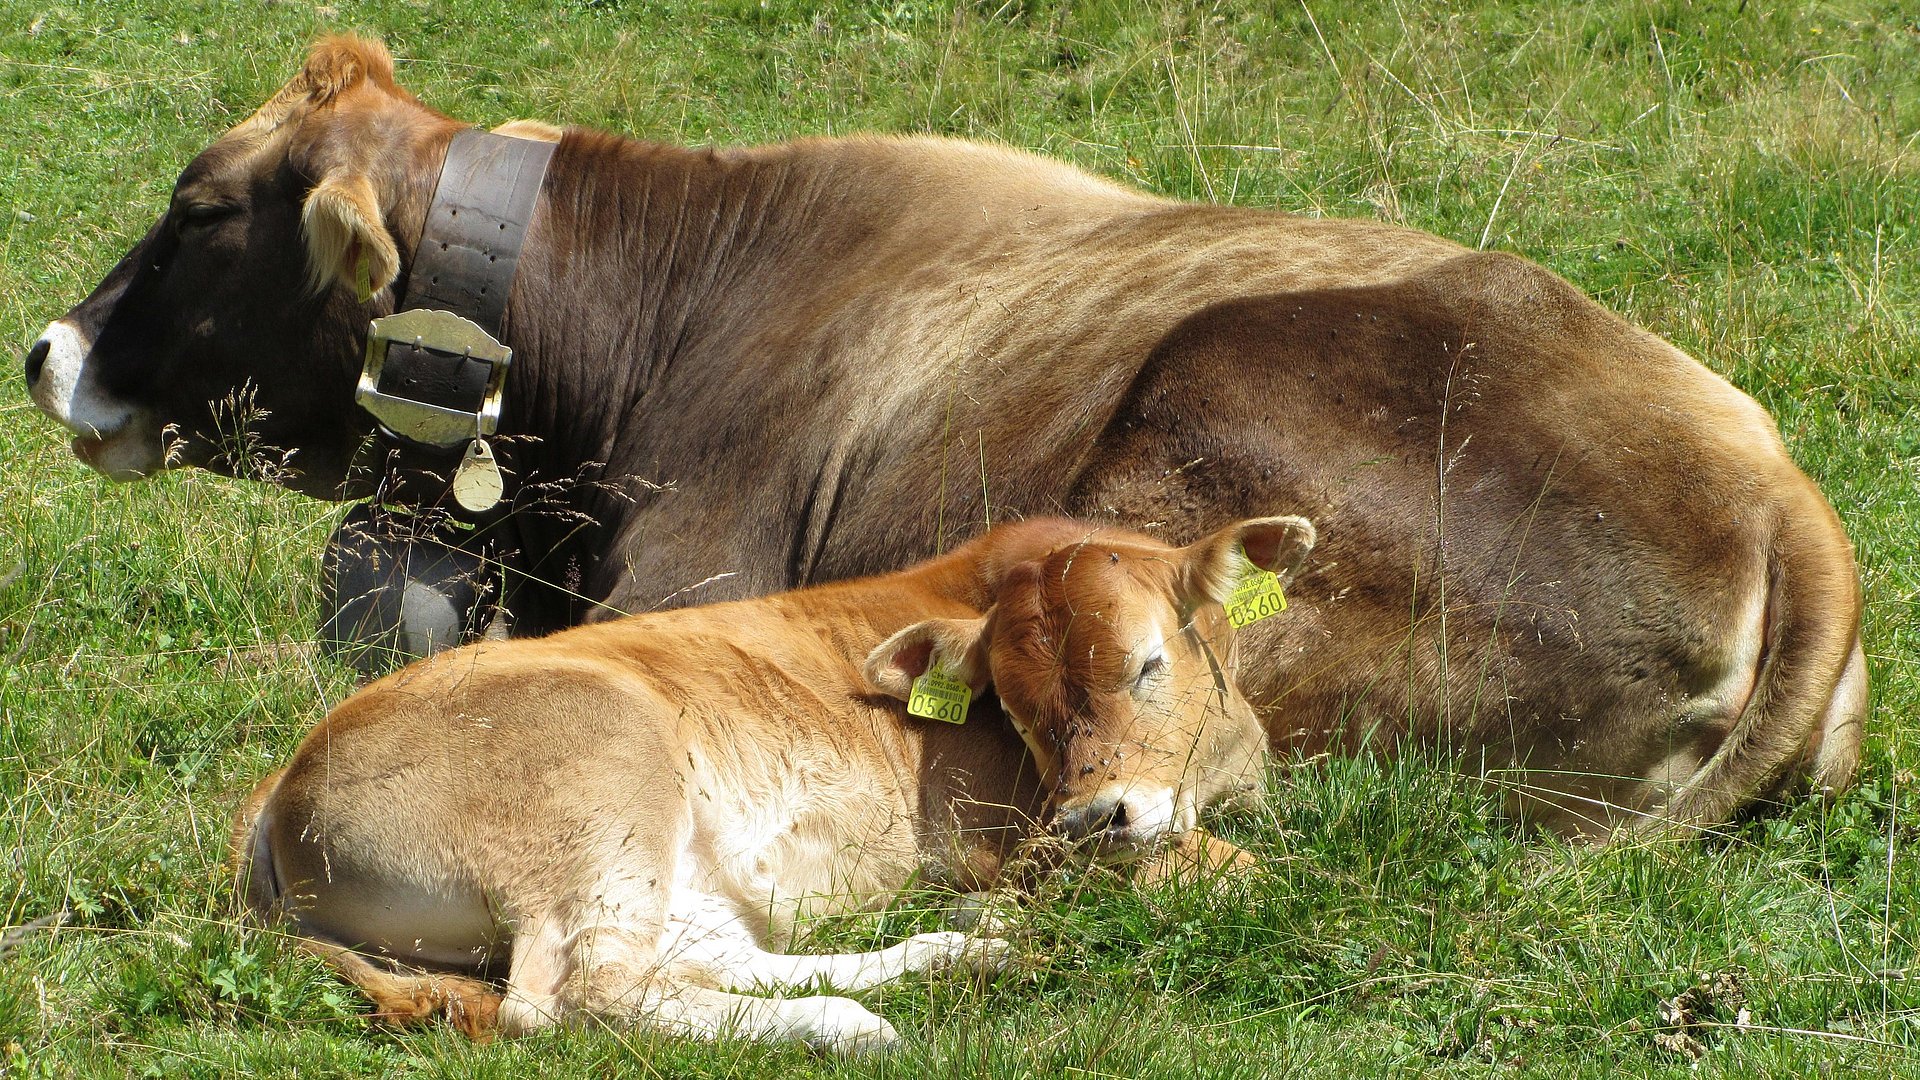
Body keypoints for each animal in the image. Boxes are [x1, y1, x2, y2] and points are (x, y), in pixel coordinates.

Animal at [232, 515, 1313, 1053]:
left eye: (1146, 663)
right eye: (1015, 707)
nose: (1097, 817)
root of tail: (283, 781)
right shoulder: (1016, 846)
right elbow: (1252, 877)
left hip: (665, 867)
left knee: (709, 963)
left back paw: (959, 955)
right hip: (604, 786)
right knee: (578, 995)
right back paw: (855, 1026)